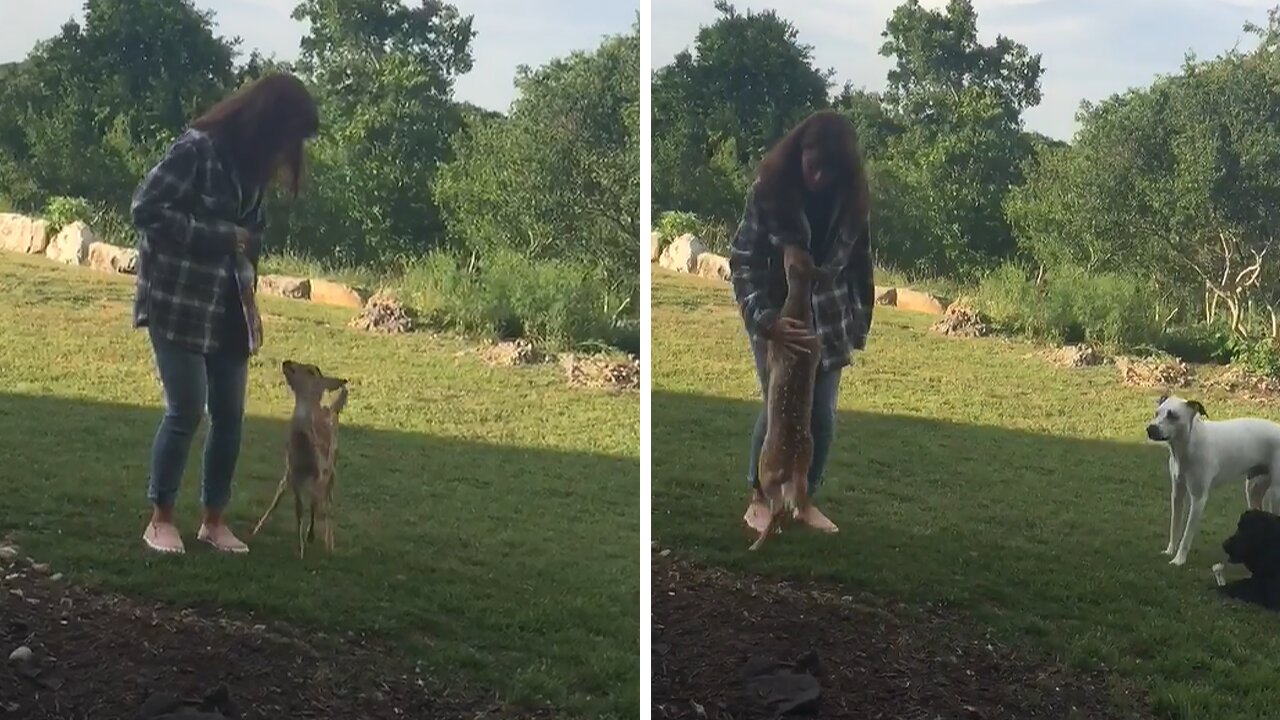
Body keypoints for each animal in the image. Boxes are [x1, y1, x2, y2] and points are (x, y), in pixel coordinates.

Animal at [1152, 392, 1280, 566]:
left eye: (1173, 416)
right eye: (1157, 413)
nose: (1150, 429)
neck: (1190, 444)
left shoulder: (1198, 499)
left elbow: (1187, 535)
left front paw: (1179, 559)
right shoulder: (1177, 493)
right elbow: (1175, 526)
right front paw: (1170, 551)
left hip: (1275, 493)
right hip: (1253, 488)